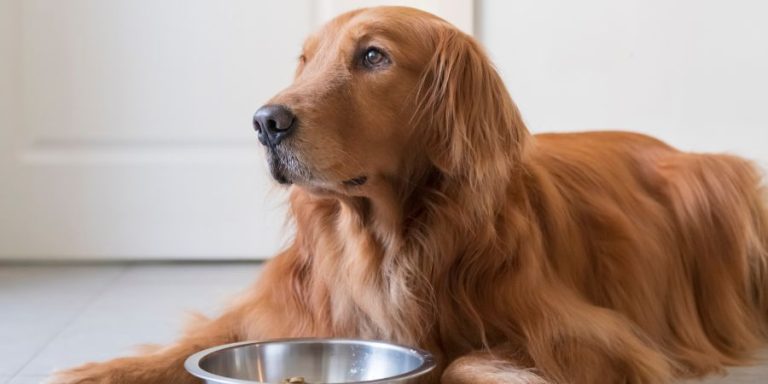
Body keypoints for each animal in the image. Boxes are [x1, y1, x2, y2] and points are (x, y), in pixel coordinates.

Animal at [55, 6, 768, 384]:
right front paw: (93, 372)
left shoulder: (601, 341)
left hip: (723, 185)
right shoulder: (283, 309)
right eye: (305, 62)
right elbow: (186, 347)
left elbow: (462, 361)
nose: (264, 122)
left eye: (373, 57)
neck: (384, 240)